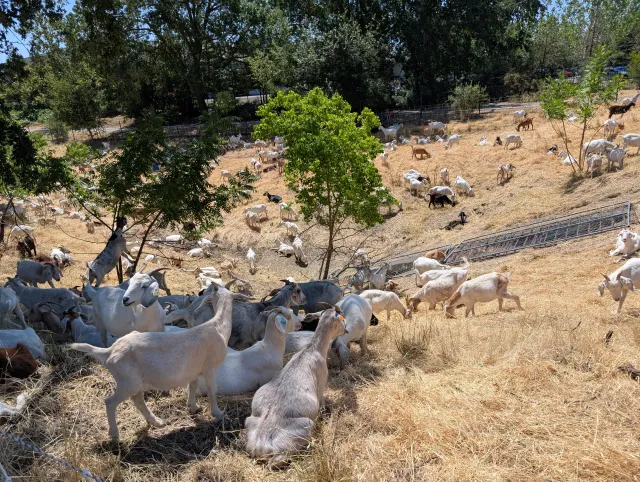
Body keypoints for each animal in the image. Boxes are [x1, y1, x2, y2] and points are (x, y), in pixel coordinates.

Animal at [245, 308, 347, 466]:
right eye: (341, 318)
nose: (346, 329)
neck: (312, 350)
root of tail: (261, 443)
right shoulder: (321, 383)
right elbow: (322, 402)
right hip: (306, 426)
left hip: (249, 421)